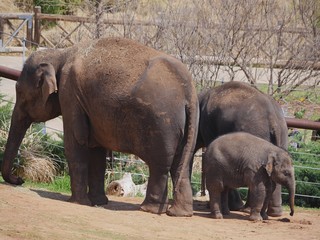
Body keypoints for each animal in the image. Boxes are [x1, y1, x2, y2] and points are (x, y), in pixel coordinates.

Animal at [1, 37, 199, 218]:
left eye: (20, 91)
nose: (20, 179)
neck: (60, 54)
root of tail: (188, 91)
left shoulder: (69, 93)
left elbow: (76, 142)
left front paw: (77, 202)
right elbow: (96, 152)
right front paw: (98, 202)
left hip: (162, 124)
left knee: (160, 166)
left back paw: (148, 209)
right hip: (189, 125)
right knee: (181, 165)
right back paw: (178, 213)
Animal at [196, 81, 288, 218]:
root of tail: (274, 120)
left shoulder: (208, 126)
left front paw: (233, 206)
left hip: (255, 129)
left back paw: (247, 209)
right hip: (283, 134)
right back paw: (275, 213)